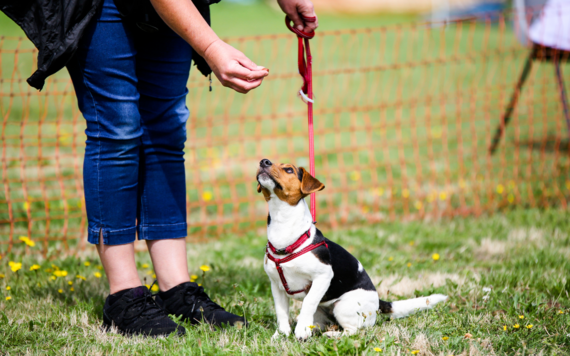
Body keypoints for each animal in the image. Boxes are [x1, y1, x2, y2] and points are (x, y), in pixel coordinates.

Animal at [255, 159, 446, 340]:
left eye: (288, 169)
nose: (263, 161)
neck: (285, 229)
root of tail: (377, 303)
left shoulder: (323, 276)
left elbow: (308, 302)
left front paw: (301, 330)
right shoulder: (276, 286)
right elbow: (281, 312)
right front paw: (282, 335)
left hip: (343, 305)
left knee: (353, 330)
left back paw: (331, 335)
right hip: (323, 310)